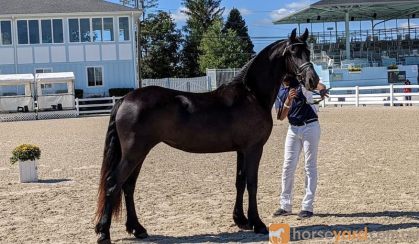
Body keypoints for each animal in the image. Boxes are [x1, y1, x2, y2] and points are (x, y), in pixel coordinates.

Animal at [94, 28, 318, 242]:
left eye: (308, 51)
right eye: (293, 52)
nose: (312, 80)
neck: (251, 94)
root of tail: (124, 99)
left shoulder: (241, 150)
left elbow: (240, 182)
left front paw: (241, 220)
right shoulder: (254, 148)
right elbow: (252, 183)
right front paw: (258, 223)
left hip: (139, 154)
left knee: (128, 186)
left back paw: (137, 229)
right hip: (134, 153)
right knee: (113, 183)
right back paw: (104, 233)